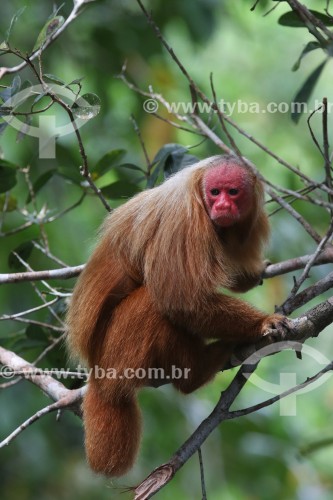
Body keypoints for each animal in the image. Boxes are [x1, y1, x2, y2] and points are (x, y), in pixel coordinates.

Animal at [66, 155, 284, 476]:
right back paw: (194, 374)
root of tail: (95, 368)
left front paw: (253, 273)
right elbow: (182, 300)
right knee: (155, 301)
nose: (222, 206)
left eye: (232, 192)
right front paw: (261, 323)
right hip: (115, 351)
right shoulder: (183, 221)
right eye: (214, 192)